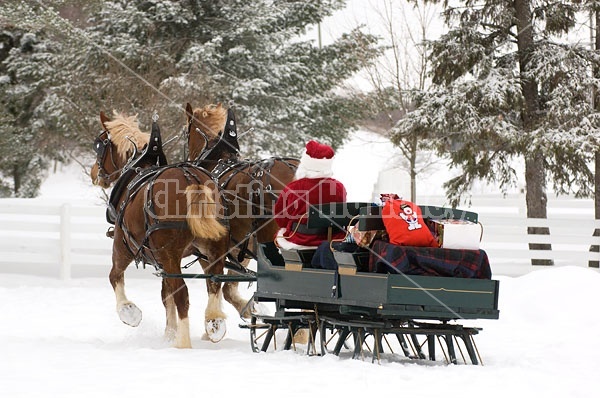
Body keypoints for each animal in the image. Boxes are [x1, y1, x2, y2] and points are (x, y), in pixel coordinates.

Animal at [89, 110, 248, 346]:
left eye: (99, 144)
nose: (95, 174)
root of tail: (191, 179)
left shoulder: (123, 245)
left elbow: (115, 276)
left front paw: (130, 312)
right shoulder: (163, 260)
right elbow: (167, 294)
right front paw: (169, 331)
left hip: (168, 252)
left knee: (183, 293)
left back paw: (183, 342)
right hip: (214, 247)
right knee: (214, 283)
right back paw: (214, 323)